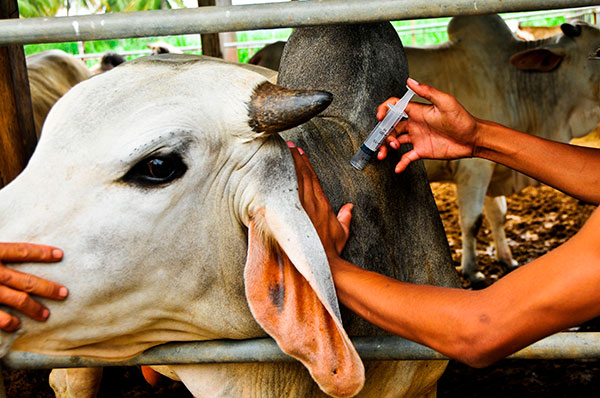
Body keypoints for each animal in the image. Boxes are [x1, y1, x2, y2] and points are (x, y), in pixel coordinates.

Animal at [404, 15, 600, 282]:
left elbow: (498, 215)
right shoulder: (474, 169)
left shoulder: (492, 167)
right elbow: (472, 221)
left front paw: (507, 259)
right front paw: (472, 271)